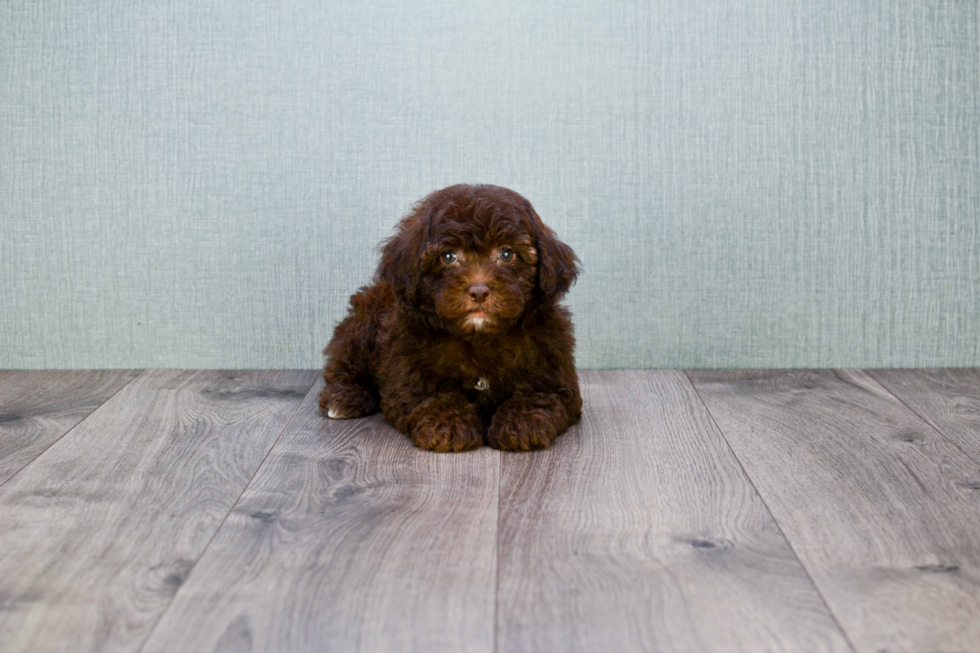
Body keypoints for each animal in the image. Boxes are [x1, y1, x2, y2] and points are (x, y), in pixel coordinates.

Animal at [322, 181, 580, 450]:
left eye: (507, 254)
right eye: (448, 256)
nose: (479, 291)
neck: (479, 338)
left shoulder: (553, 372)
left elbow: (540, 396)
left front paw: (522, 422)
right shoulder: (407, 373)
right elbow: (432, 398)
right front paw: (448, 424)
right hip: (364, 326)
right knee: (343, 363)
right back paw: (343, 398)